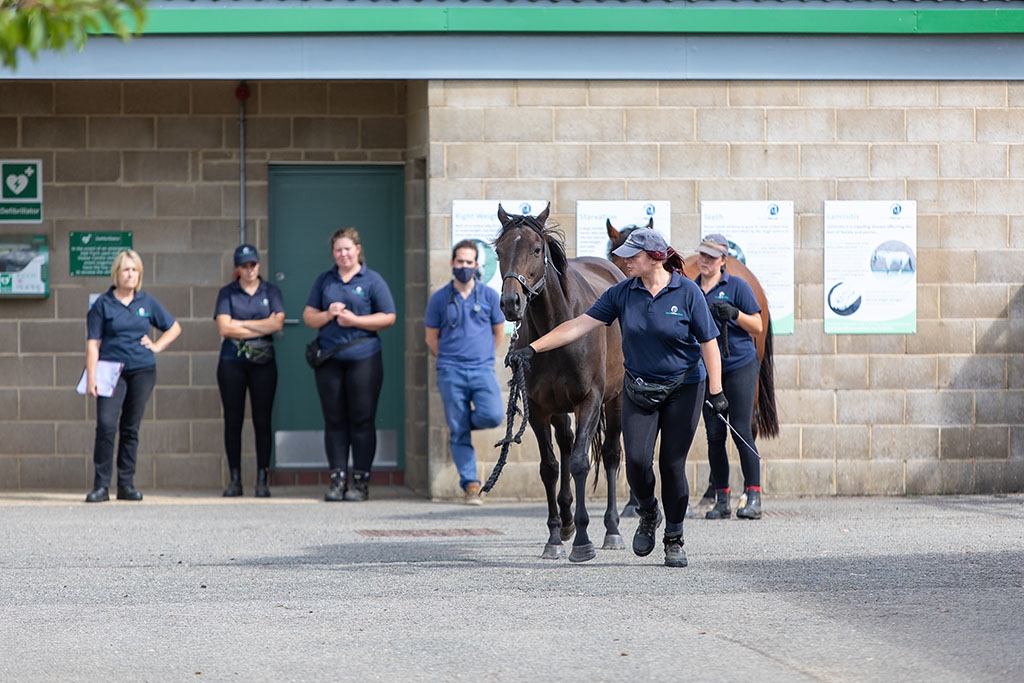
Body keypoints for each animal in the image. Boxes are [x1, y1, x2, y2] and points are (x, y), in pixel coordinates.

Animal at [495, 203, 627, 563]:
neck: (558, 327)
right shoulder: (539, 409)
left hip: (616, 399)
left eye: (536, 249)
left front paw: (583, 540)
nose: (511, 303)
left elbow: (581, 463)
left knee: (610, 454)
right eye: (498, 251)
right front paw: (555, 536)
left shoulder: (590, 400)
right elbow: (550, 468)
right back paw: (566, 521)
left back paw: (611, 529)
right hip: (559, 408)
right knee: (565, 444)